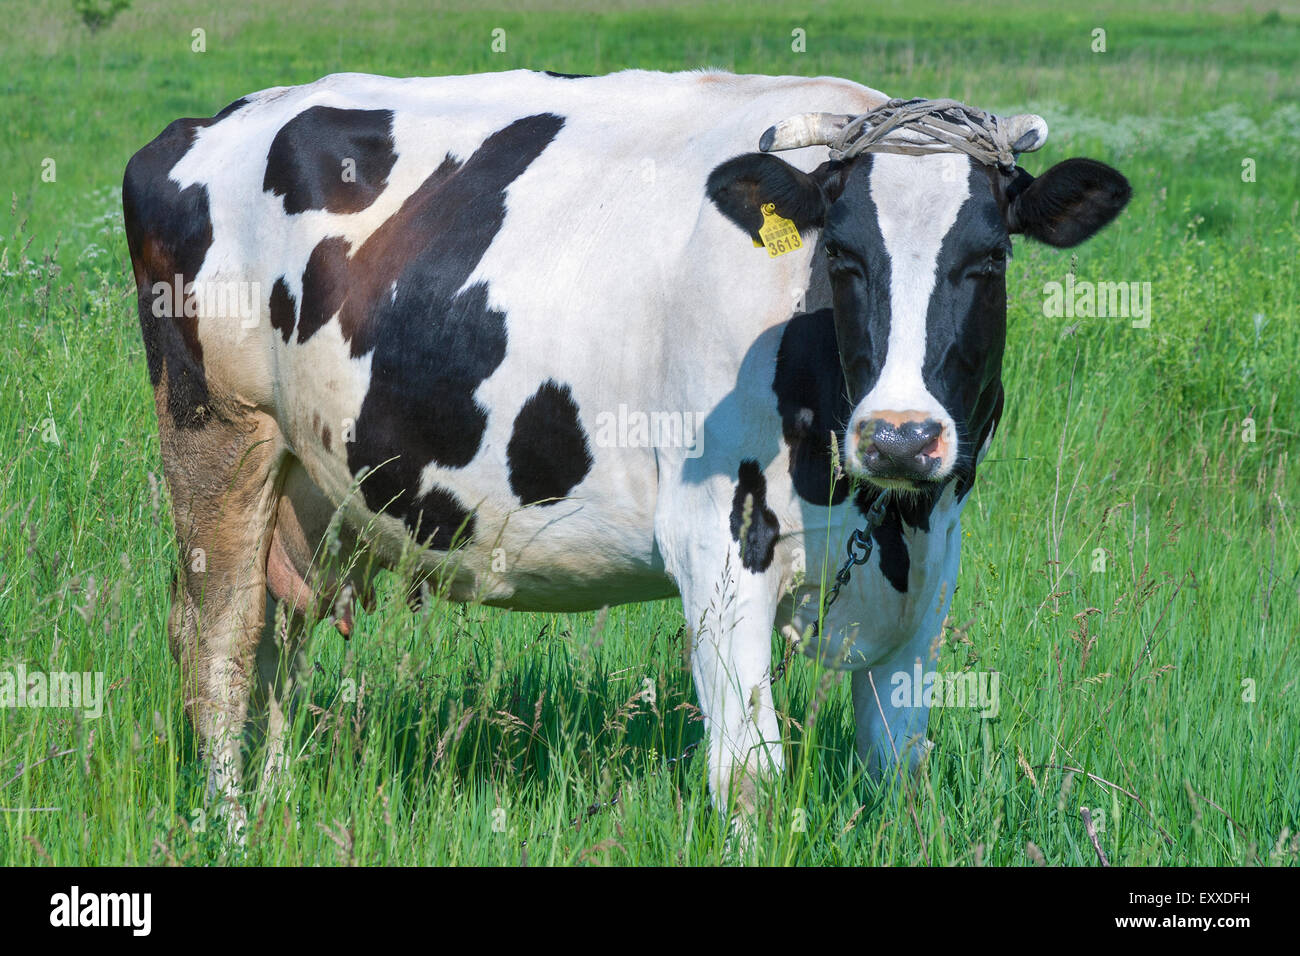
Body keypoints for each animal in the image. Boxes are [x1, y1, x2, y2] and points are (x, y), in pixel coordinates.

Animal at [122, 69, 1129, 831]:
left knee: (278, 642)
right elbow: (749, 772)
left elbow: (897, 767)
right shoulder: (717, 545)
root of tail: (204, 125)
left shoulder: (931, 562)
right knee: (221, 643)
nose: (901, 436)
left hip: (311, 490)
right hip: (221, 435)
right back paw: (231, 826)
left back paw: (276, 807)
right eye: (844, 257)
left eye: (988, 259)